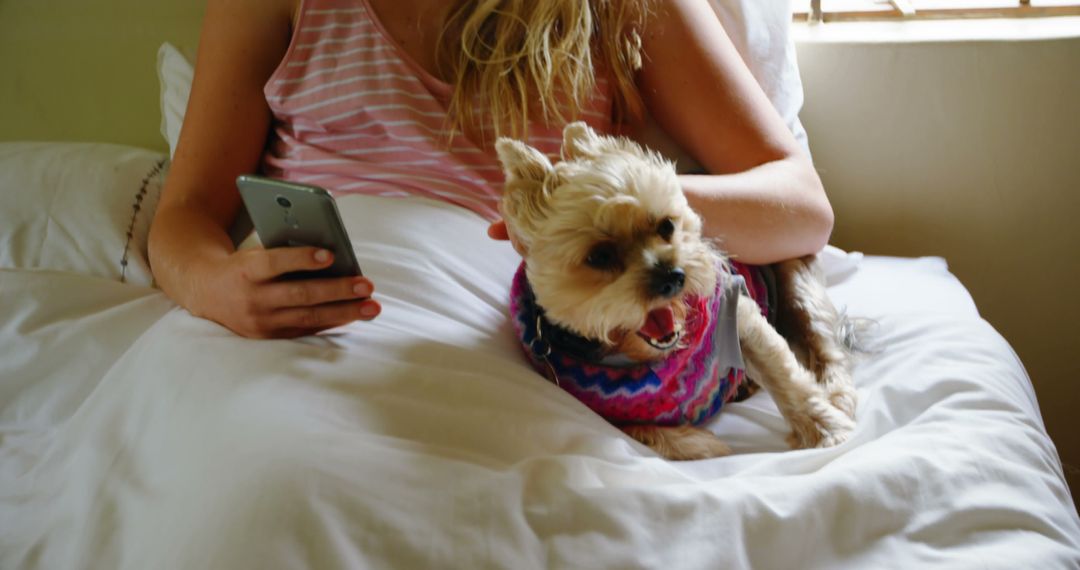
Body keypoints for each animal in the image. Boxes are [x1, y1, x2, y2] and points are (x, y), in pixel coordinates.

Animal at [494, 122, 855, 459]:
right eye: (599, 256)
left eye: (666, 225)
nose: (674, 277)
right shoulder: (588, 400)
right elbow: (640, 429)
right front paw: (700, 443)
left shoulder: (739, 313)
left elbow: (784, 375)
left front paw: (827, 429)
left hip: (797, 281)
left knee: (824, 344)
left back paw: (837, 395)